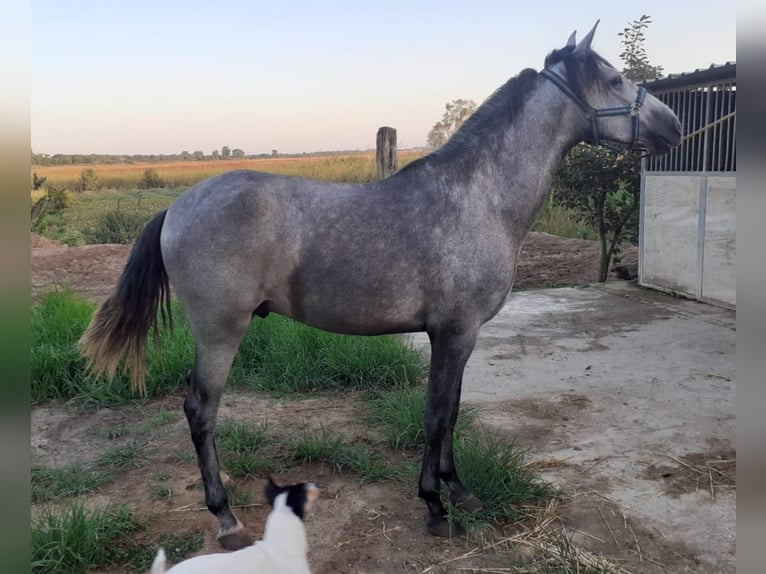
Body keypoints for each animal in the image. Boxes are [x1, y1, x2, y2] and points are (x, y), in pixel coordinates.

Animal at [79, 22, 684, 548]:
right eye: (613, 79)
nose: (674, 125)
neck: (479, 197)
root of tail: (177, 206)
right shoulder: (455, 332)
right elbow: (436, 415)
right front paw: (434, 505)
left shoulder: (458, 337)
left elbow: (452, 411)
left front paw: (458, 492)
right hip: (219, 332)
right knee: (201, 412)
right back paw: (226, 518)